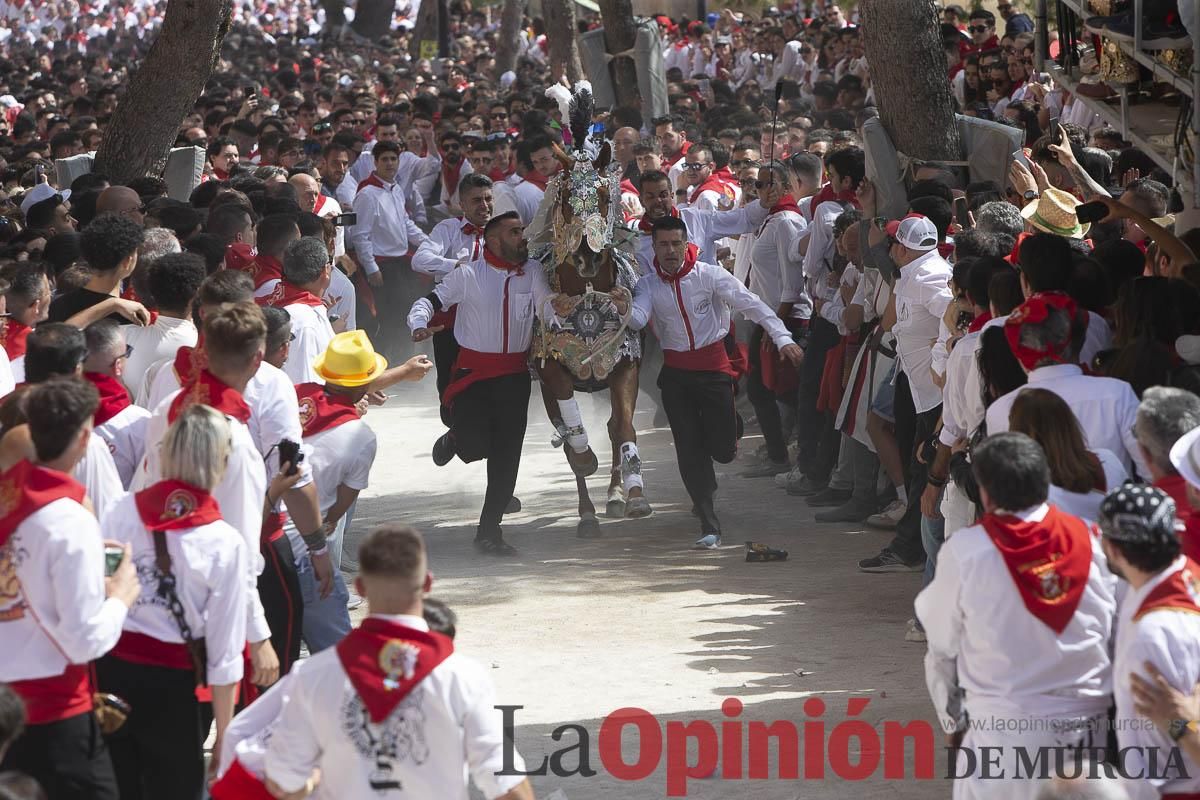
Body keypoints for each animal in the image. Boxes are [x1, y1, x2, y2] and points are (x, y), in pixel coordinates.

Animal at [528, 81, 652, 537]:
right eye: (564, 197)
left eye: (602, 194)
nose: (587, 255)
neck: (585, 301)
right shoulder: (551, 371)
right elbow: (572, 434)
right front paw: (586, 470)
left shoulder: (624, 363)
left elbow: (623, 426)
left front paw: (633, 494)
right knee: (567, 430)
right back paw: (587, 511)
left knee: (613, 429)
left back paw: (615, 495)